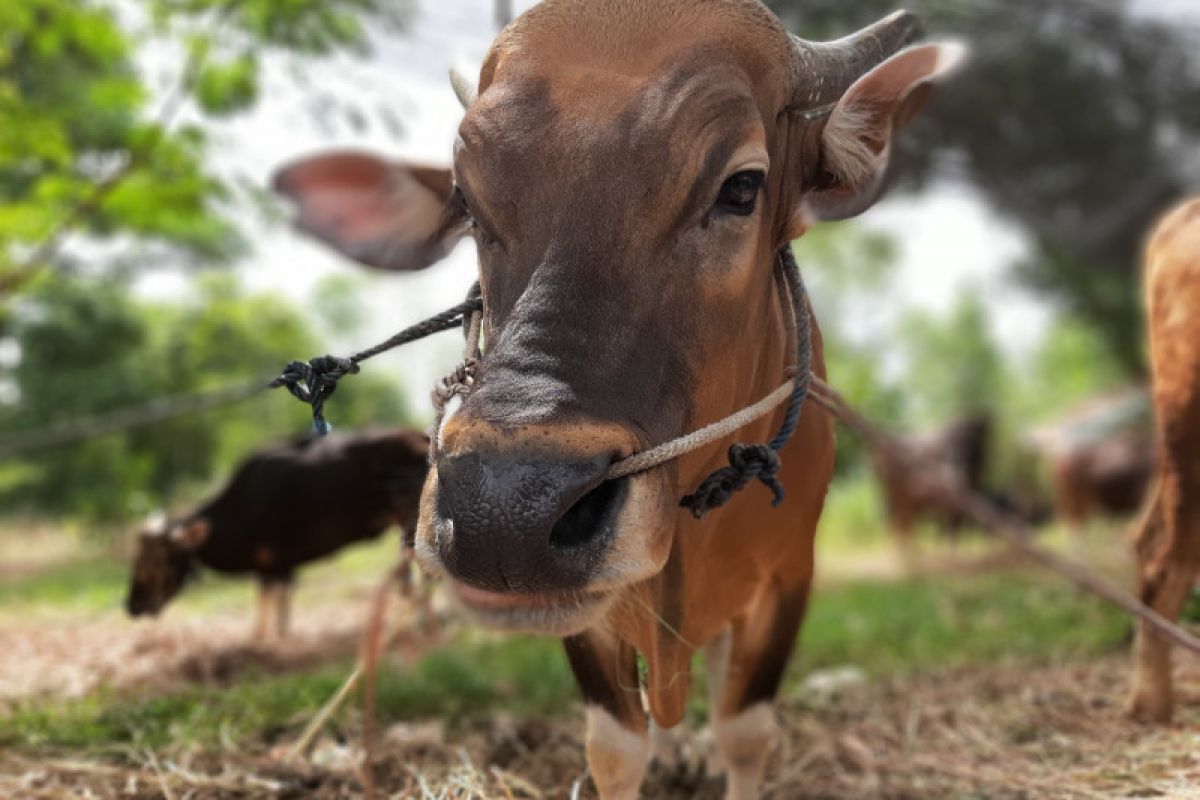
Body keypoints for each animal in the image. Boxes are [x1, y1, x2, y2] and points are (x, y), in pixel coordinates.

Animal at [125, 429, 427, 642]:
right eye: (136, 560)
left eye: (158, 561)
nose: (131, 605)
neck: (246, 505)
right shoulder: (278, 566)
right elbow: (277, 604)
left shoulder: (274, 565)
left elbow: (269, 603)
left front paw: (265, 641)